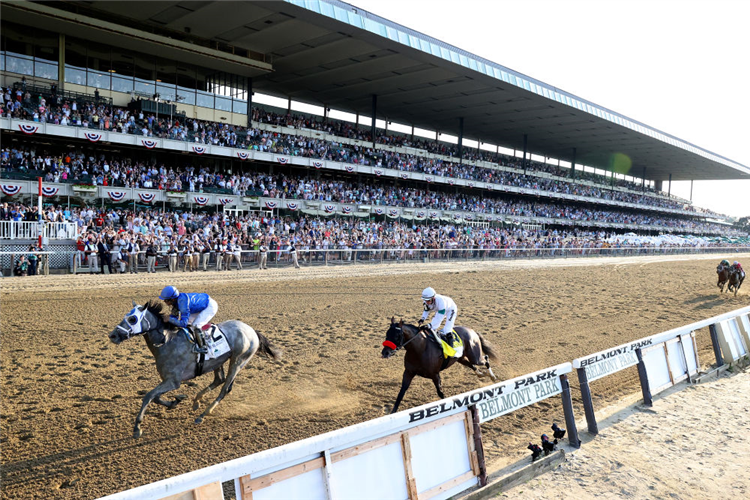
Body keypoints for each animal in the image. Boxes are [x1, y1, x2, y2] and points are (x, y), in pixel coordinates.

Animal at [111, 300, 284, 438]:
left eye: (132, 319)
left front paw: (137, 428)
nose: (112, 335)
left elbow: (148, 396)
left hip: (238, 360)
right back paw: (196, 401)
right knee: (219, 379)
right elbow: (156, 397)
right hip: (219, 361)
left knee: (225, 388)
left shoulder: (173, 381)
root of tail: (252, 330)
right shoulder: (167, 380)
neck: (167, 342)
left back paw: (203, 414)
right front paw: (175, 401)